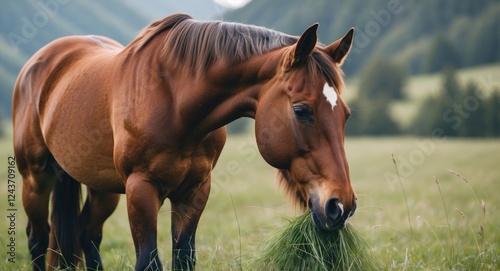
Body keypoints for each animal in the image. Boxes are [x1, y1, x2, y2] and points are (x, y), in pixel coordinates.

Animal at [13, 13, 358, 270]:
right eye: (301, 111)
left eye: (346, 115)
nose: (341, 206)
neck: (174, 100)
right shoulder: (141, 188)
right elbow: (149, 261)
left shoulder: (194, 190)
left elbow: (183, 258)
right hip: (36, 178)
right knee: (37, 238)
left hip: (101, 188)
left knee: (86, 234)